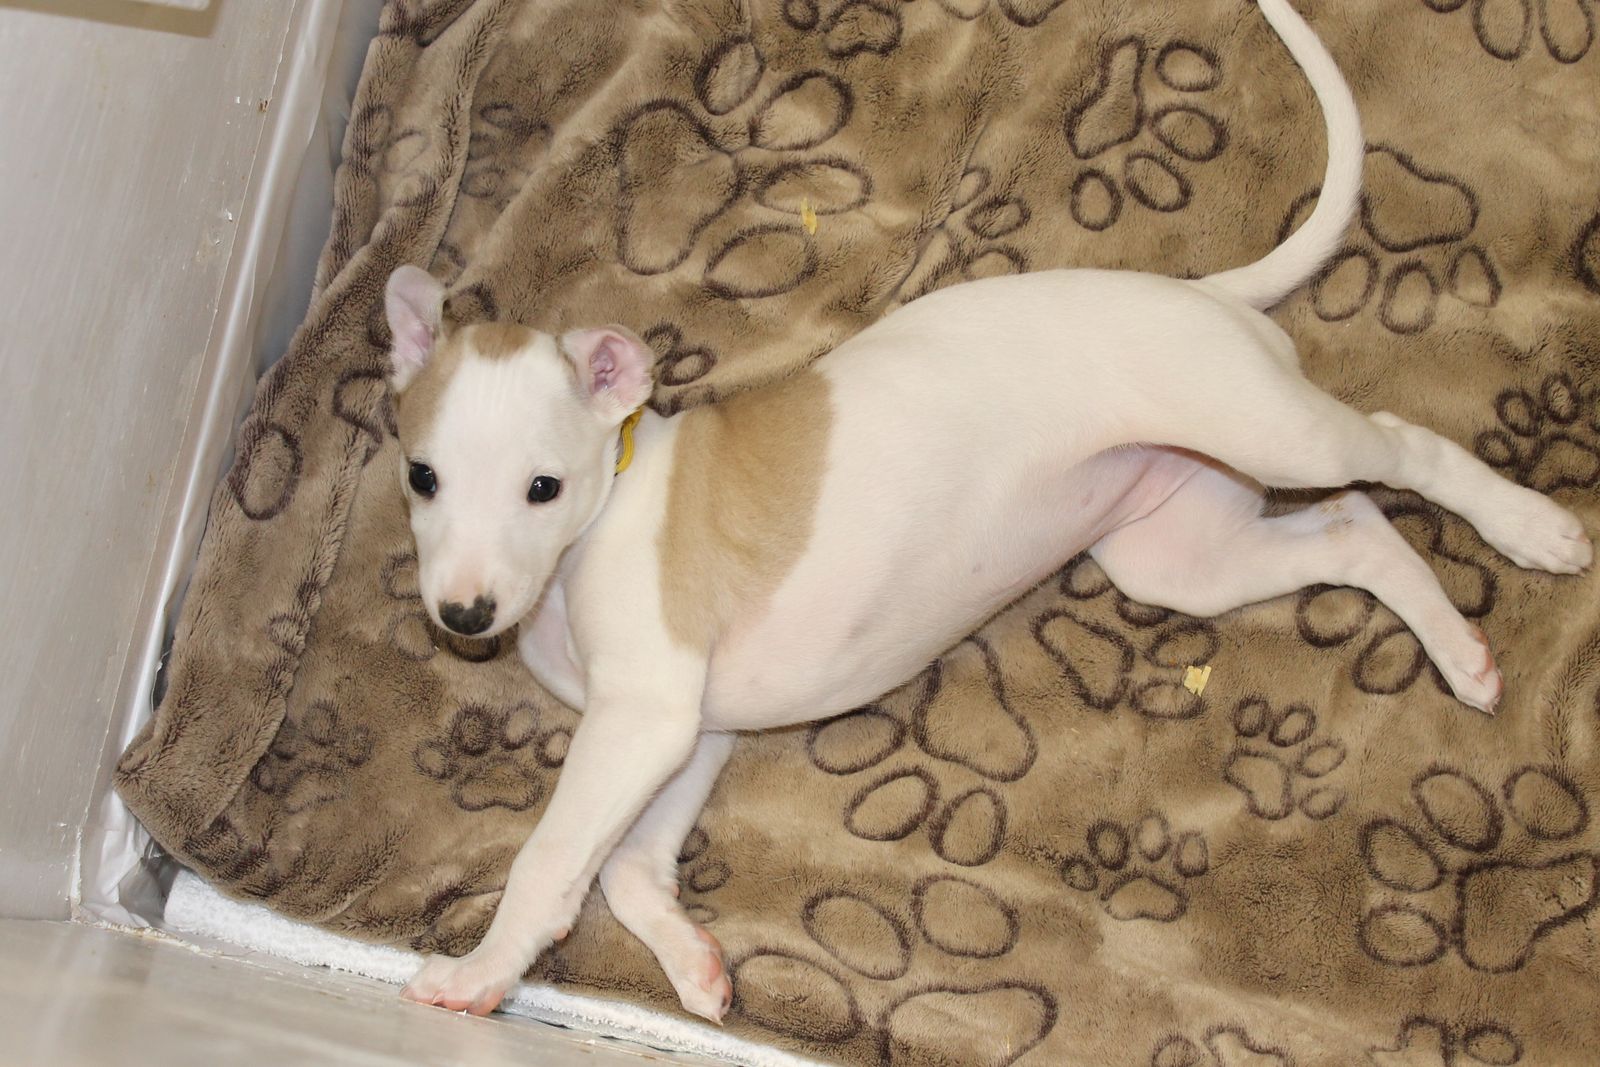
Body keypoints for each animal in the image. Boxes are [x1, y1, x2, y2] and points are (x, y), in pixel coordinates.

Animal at [387, 0, 1590, 1023]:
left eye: (542, 486)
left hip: (1269, 433)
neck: (609, 502)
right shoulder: (694, 728)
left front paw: (480, 972)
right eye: (422, 477)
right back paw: (1459, 652)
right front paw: (694, 964)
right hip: (1177, 553)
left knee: (1401, 447)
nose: (462, 616)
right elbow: (632, 868)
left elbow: (556, 859)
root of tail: (1199, 295)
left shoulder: (642, 714)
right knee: (1355, 527)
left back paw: (1532, 526)